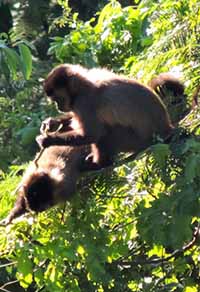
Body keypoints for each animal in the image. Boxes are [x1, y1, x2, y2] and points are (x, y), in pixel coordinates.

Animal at [36, 64, 173, 169]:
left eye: (58, 99)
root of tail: (167, 128)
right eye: (55, 101)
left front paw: (47, 140)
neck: (84, 84)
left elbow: (92, 135)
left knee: (105, 133)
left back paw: (100, 164)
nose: (58, 107)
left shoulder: (84, 101)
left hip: (138, 141)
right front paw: (52, 123)